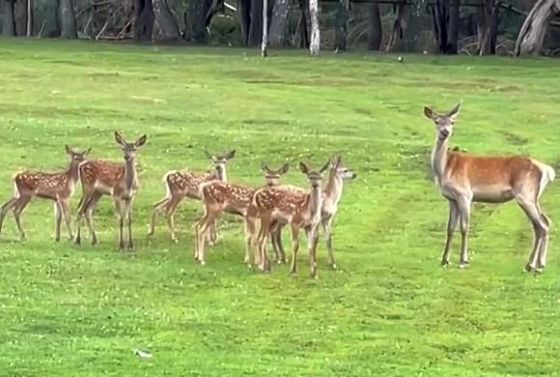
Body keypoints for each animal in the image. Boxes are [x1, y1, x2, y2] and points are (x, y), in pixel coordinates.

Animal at [426, 101, 552, 270]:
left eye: (452, 122)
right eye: (436, 121)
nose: (445, 132)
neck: (445, 169)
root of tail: (546, 169)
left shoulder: (465, 194)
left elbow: (464, 226)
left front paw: (463, 261)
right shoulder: (451, 198)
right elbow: (450, 227)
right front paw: (444, 260)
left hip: (525, 194)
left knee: (542, 225)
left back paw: (538, 265)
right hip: (533, 196)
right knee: (541, 223)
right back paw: (532, 264)